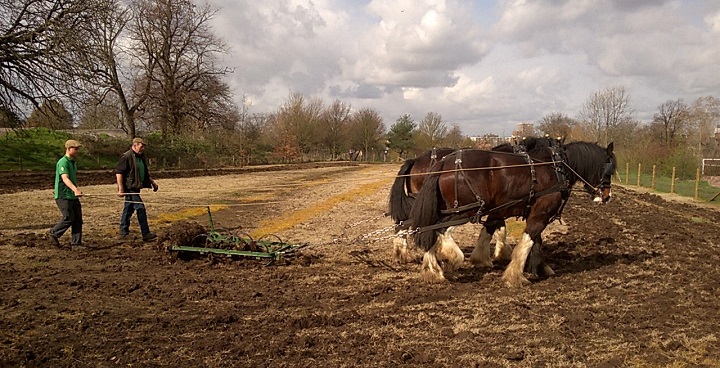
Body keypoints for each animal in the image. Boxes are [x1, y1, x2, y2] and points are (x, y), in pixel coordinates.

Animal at [408, 141, 616, 288]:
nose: (607, 196)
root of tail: (445, 161)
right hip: (464, 210)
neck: (557, 168)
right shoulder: (540, 213)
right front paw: (515, 275)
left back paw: (432, 270)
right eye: (608, 170)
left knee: (428, 230)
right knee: (437, 230)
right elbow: (528, 240)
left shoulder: (527, 212)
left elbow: (534, 241)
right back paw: (451, 258)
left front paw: (538, 268)